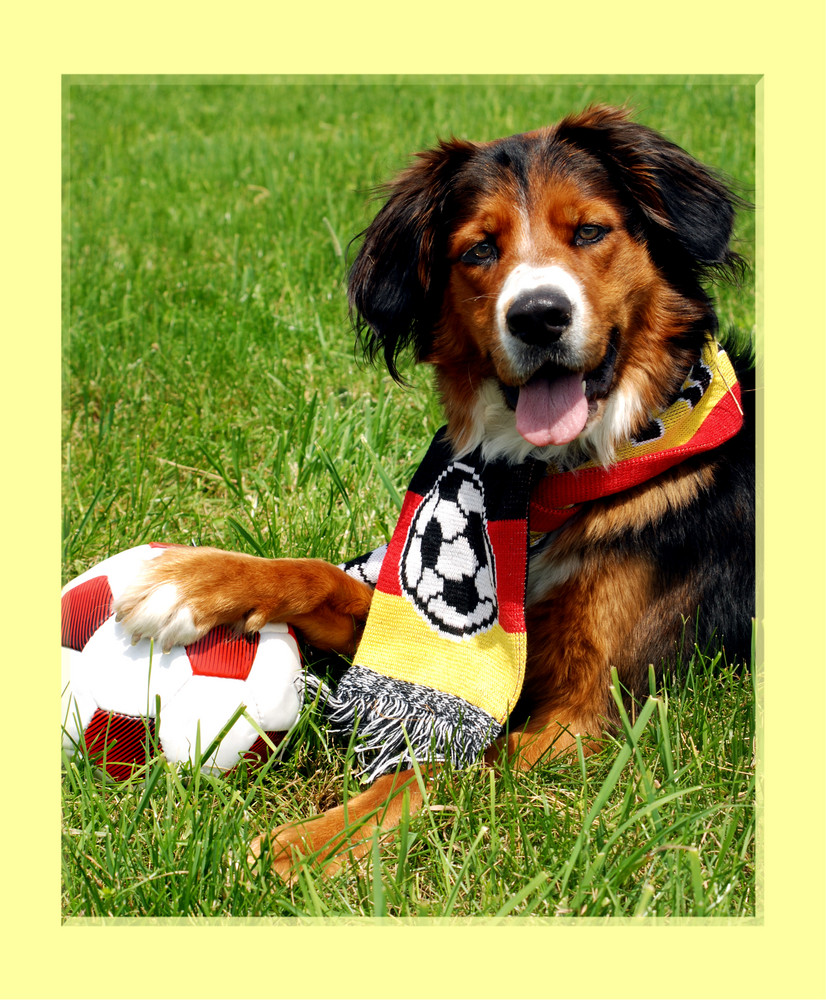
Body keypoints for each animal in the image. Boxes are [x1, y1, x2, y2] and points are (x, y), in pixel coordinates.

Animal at [112, 103, 748, 876]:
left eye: (590, 232)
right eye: (479, 250)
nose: (538, 315)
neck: (552, 482)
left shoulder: (592, 713)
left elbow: (436, 769)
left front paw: (306, 844)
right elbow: (322, 575)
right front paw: (190, 582)